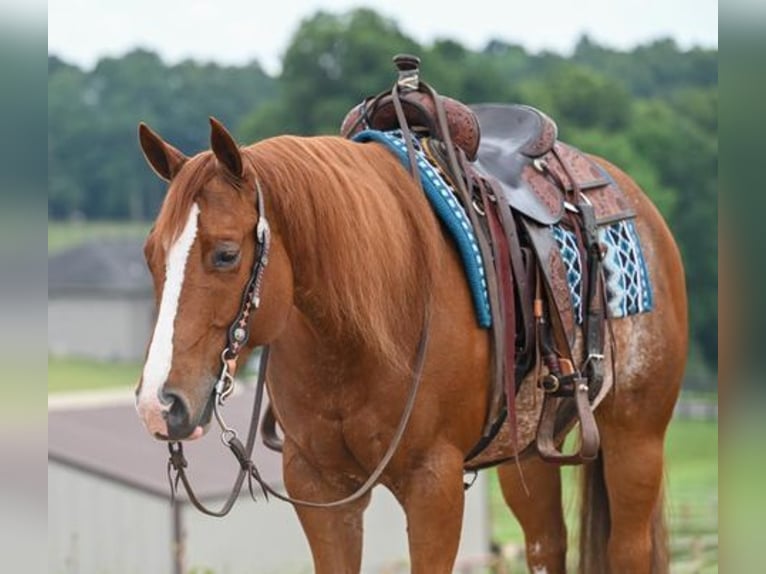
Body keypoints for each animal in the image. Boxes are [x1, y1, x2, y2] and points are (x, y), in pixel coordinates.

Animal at [134, 115, 688, 572]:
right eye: (150, 255)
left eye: (226, 254)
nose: (160, 404)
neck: (353, 338)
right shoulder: (320, 486)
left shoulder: (433, 485)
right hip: (529, 452)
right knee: (546, 544)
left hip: (635, 438)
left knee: (628, 549)